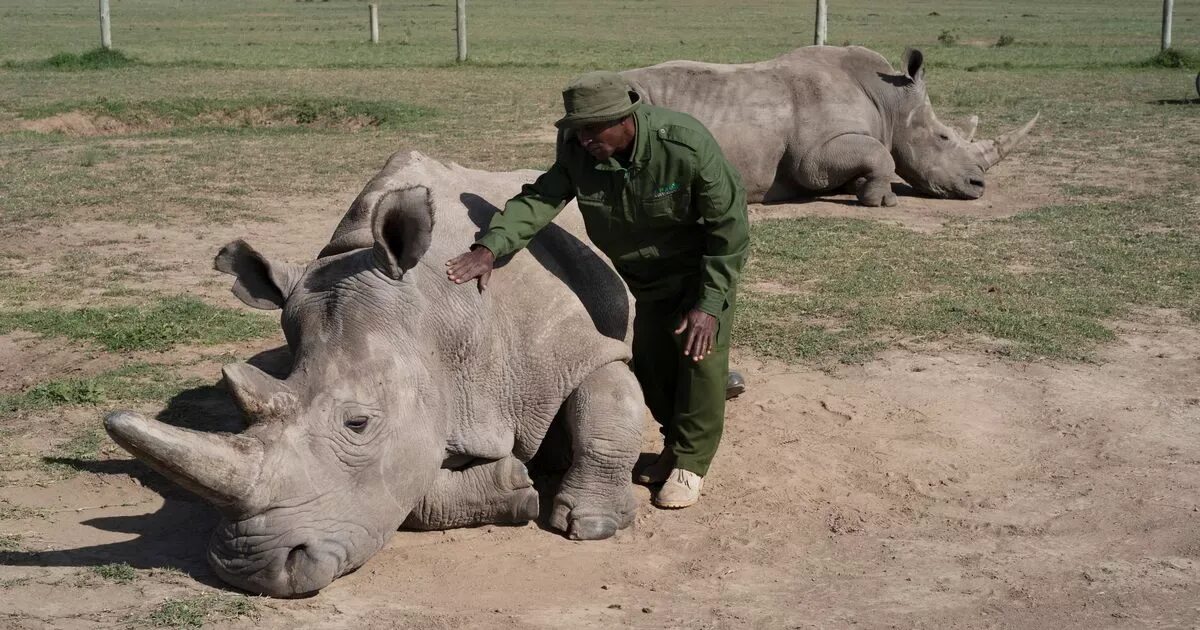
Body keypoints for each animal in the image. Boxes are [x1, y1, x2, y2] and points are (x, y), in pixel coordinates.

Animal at [105, 150, 648, 597]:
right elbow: (407, 493)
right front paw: (515, 485)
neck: (436, 313)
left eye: (358, 424)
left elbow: (607, 407)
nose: (249, 570)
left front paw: (592, 524)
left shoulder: (574, 348)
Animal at [624, 45, 1036, 206]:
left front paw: (861, 188)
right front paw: (882, 200)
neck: (891, 102)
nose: (979, 185)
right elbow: (882, 155)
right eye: (944, 136)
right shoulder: (812, 155)